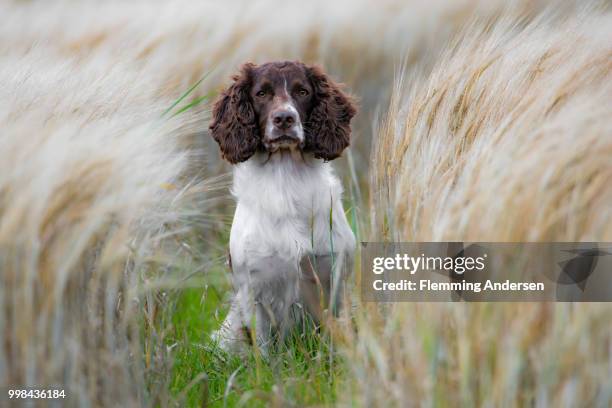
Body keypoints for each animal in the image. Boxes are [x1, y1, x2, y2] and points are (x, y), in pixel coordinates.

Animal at [209, 60, 356, 354]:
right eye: (261, 93)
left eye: (302, 91)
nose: (284, 118)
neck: (286, 180)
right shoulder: (255, 288)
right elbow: (264, 349)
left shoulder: (335, 277)